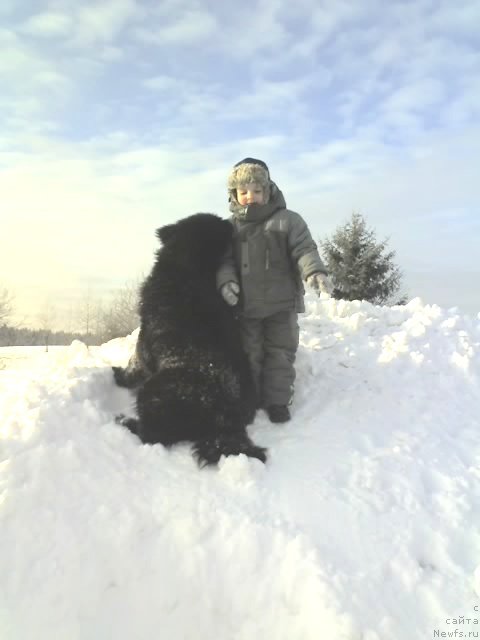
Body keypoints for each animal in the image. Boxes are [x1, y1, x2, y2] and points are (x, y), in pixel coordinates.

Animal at [112, 212, 266, 468]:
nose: (229, 221)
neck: (185, 269)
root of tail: (225, 417)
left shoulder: (145, 338)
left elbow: (135, 362)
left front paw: (119, 375)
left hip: (153, 391)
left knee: (152, 435)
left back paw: (125, 422)